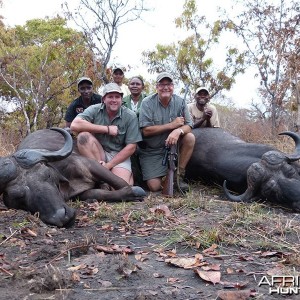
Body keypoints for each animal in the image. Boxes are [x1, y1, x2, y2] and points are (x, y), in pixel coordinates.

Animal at [0, 127, 145, 227]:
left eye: (47, 174)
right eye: (17, 195)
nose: (62, 216)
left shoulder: (90, 164)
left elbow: (118, 181)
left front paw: (136, 191)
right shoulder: (80, 194)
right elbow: (100, 194)